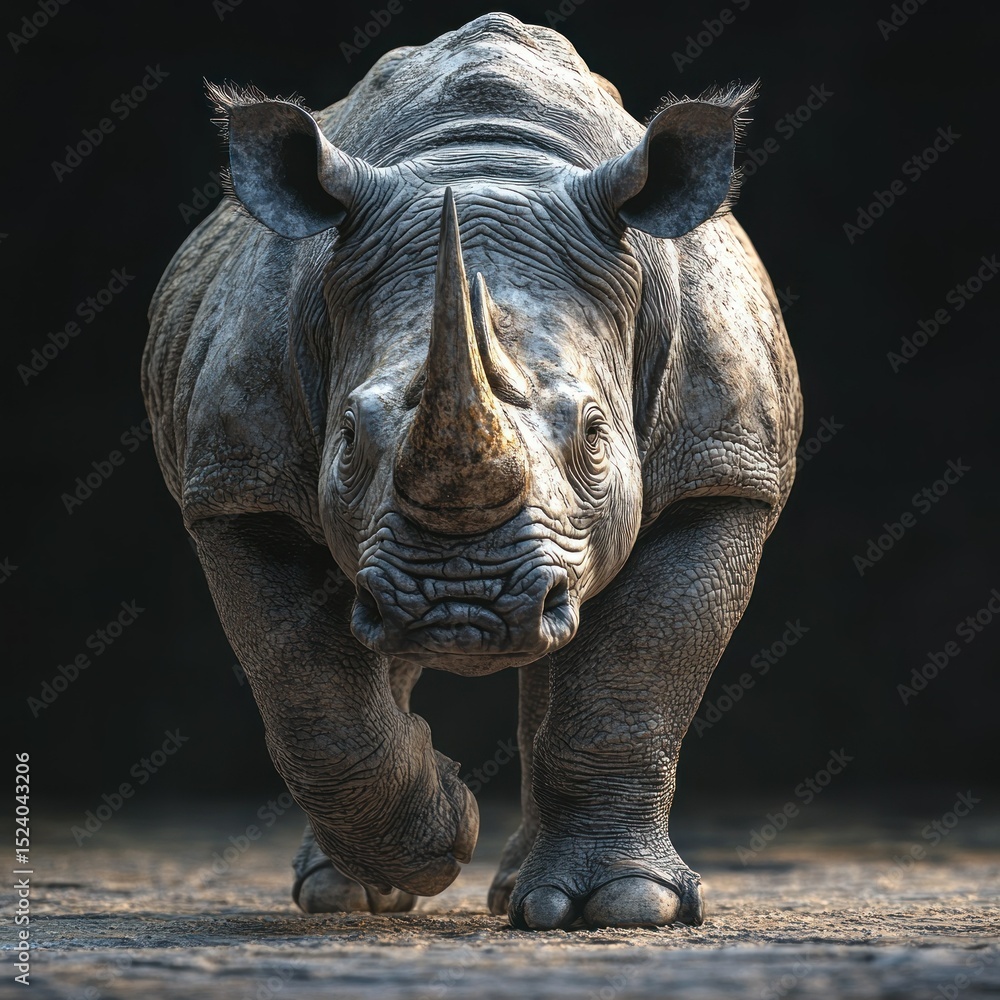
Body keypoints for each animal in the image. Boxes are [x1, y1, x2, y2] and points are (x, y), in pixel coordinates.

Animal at [143, 12, 801, 929]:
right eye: (348, 438)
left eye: (595, 437)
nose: (464, 609)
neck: (486, 158)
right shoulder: (240, 483)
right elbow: (312, 701)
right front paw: (443, 831)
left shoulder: (725, 470)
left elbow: (635, 683)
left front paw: (625, 906)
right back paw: (351, 892)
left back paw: (520, 892)